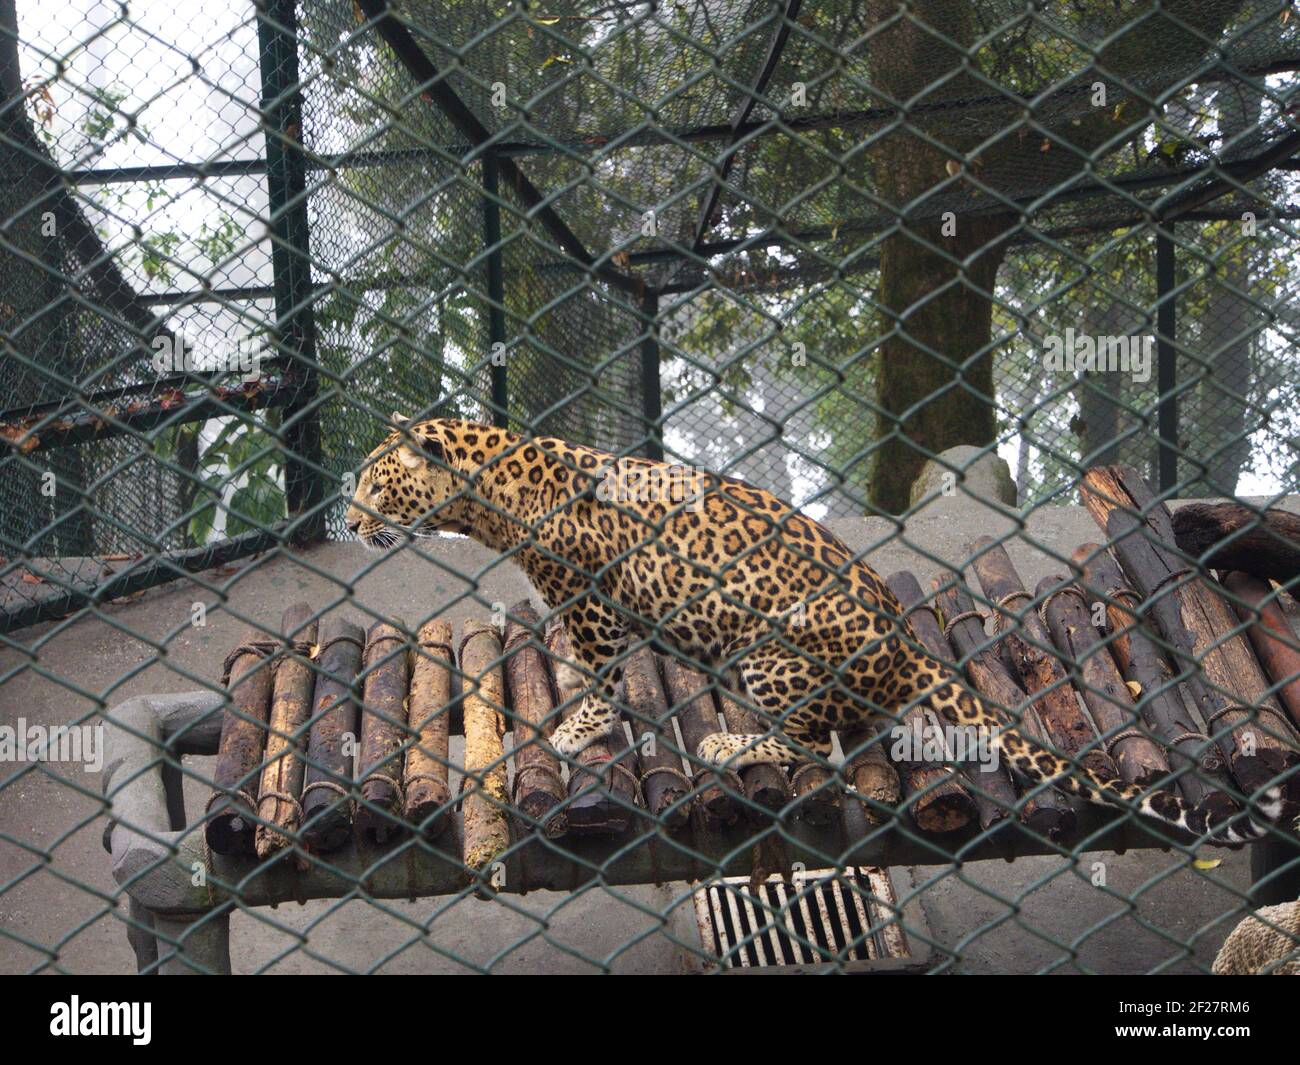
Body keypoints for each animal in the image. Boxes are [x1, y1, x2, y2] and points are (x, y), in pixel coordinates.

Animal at [348, 413, 1289, 847]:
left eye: (373, 484)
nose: (350, 521)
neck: (492, 485)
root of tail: (906, 643)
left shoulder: (591, 606)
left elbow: (605, 676)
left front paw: (579, 726)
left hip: (770, 656)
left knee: (817, 750)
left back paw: (731, 744)